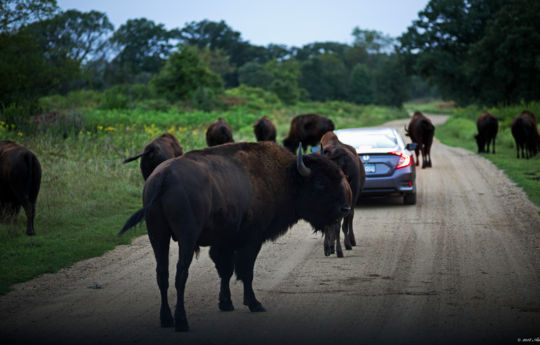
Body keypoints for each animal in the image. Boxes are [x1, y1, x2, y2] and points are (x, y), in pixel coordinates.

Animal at [119, 140, 350, 330]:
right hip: (186, 238)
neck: (284, 176)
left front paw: (226, 303)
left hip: (158, 235)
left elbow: (226, 270)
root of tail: (164, 177)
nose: (345, 208)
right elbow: (246, 271)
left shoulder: (225, 242)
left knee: (162, 274)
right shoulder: (252, 240)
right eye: (320, 183)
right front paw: (255, 304)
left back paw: (166, 319)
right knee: (180, 274)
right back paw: (181, 322)